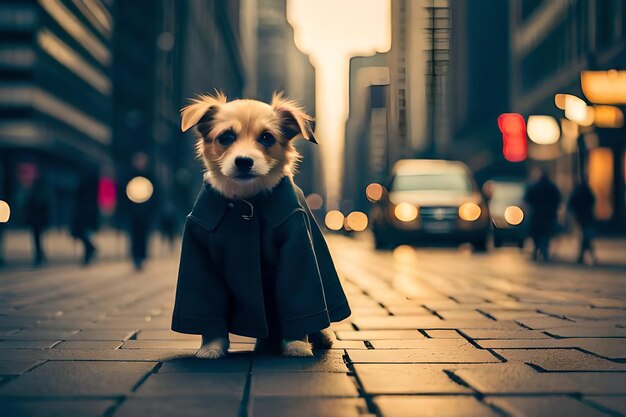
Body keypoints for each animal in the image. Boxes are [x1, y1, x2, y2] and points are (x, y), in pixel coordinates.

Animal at [173, 92, 352, 358]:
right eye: (226, 137)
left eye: (267, 138)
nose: (244, 161)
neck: (247, 198)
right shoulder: (199, 254)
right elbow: (207, 306)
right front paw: (211, 347)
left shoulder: (297, 251)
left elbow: (297, 298)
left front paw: (297, 344)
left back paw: (319, 338)